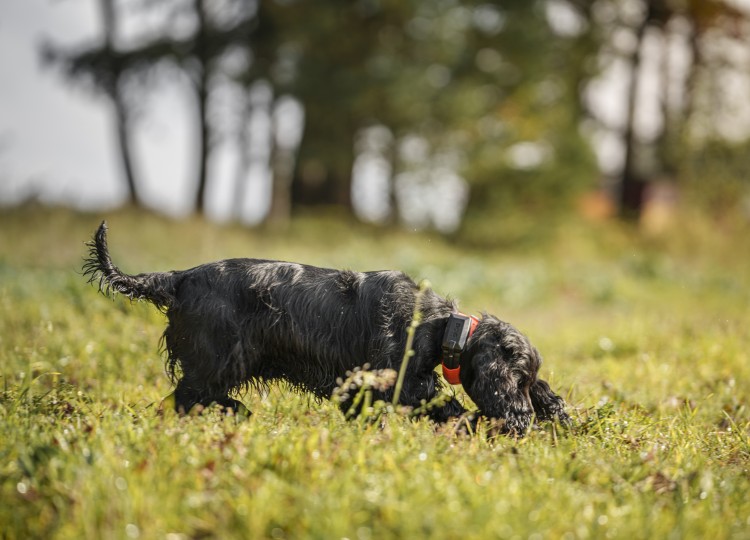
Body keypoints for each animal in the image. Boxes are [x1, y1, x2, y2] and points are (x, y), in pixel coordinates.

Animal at [82, 221, 568, 432]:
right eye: (520, 379)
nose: (525, 418)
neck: (437, 325)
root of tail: (176, 279)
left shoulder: (359, 386)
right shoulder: (398, 380)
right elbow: (439, 403)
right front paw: (468, 423)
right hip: (217, 360)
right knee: (185, 399)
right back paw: (234, 414)